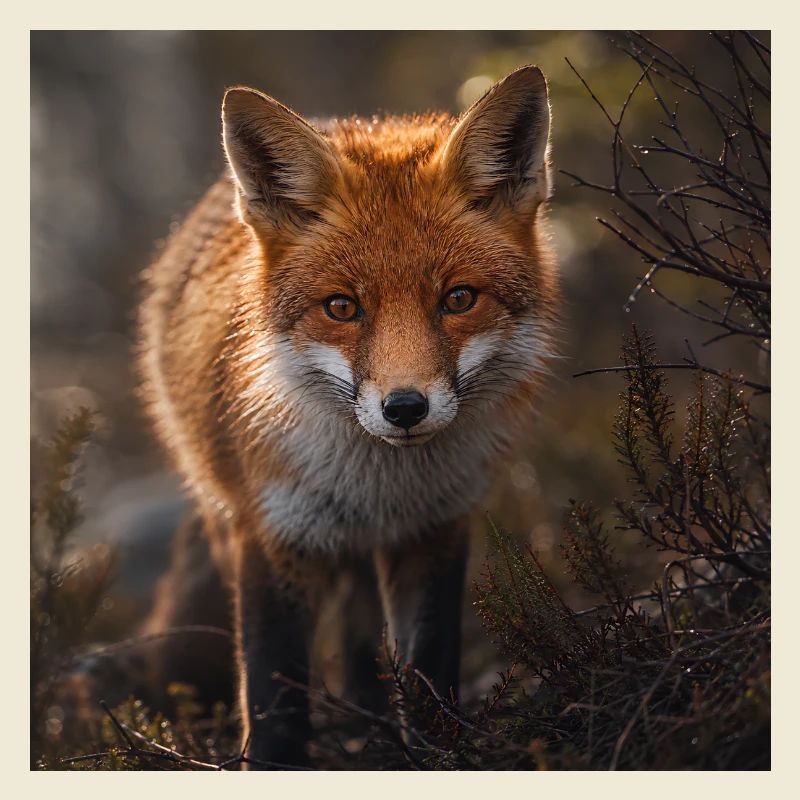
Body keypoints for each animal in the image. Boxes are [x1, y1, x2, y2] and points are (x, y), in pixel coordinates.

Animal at [137, 65, 559, 768]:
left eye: (459, 299)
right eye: (342, 308)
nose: (405, 407)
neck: (379, 487)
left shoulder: (435, 529)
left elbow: (429, 672)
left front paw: (435, 754)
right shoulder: (273, 535)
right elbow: (275, 699)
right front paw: (273, 761)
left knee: (364, 647)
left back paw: (374, 730)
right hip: (227, 518)